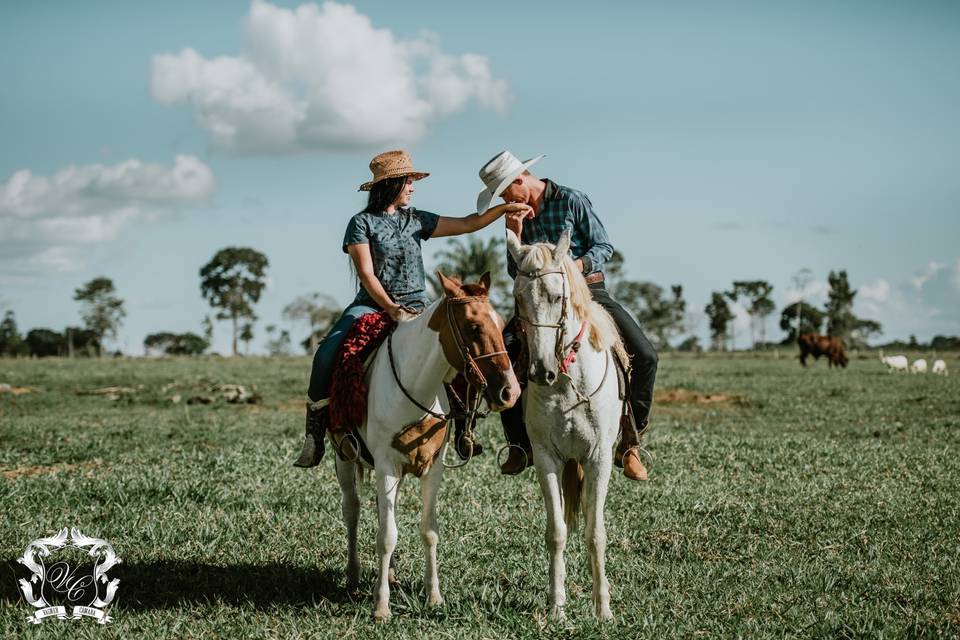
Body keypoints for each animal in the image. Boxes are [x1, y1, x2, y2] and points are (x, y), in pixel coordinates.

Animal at [506, 230, 628, 620]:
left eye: (557, 297)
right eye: (518, 298)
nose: (539, 372)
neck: (566, 381)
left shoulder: (599, 458)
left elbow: (595, 533)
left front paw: (603, 608)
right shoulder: (547, 457)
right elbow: (557, 531)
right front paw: (557, 604)